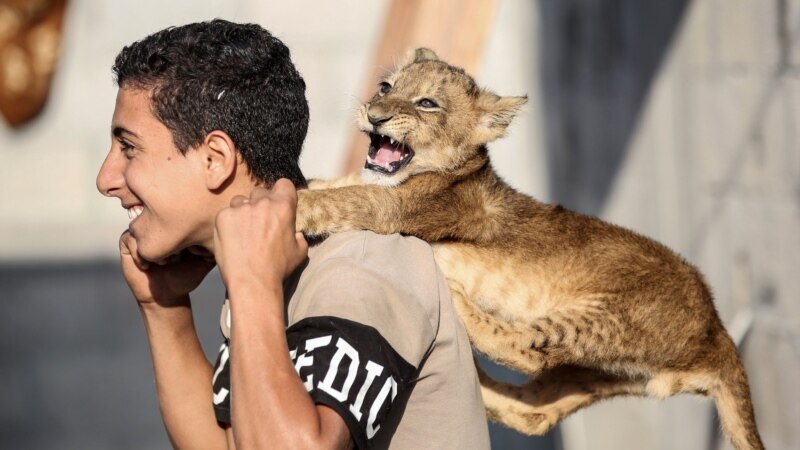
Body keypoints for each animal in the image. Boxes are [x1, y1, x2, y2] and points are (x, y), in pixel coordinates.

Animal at [296, 48, 764, 450]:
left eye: (427, 103)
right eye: (385, 87)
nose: (375, 115)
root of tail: (718, 329)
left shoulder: (393, 210)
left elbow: (340, 200)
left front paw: (287, 204)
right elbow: (335, 185)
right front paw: (307, 184)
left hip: (608, 318)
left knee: (524, 350)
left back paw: (456, 294)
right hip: (597, 372)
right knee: (535, 412)